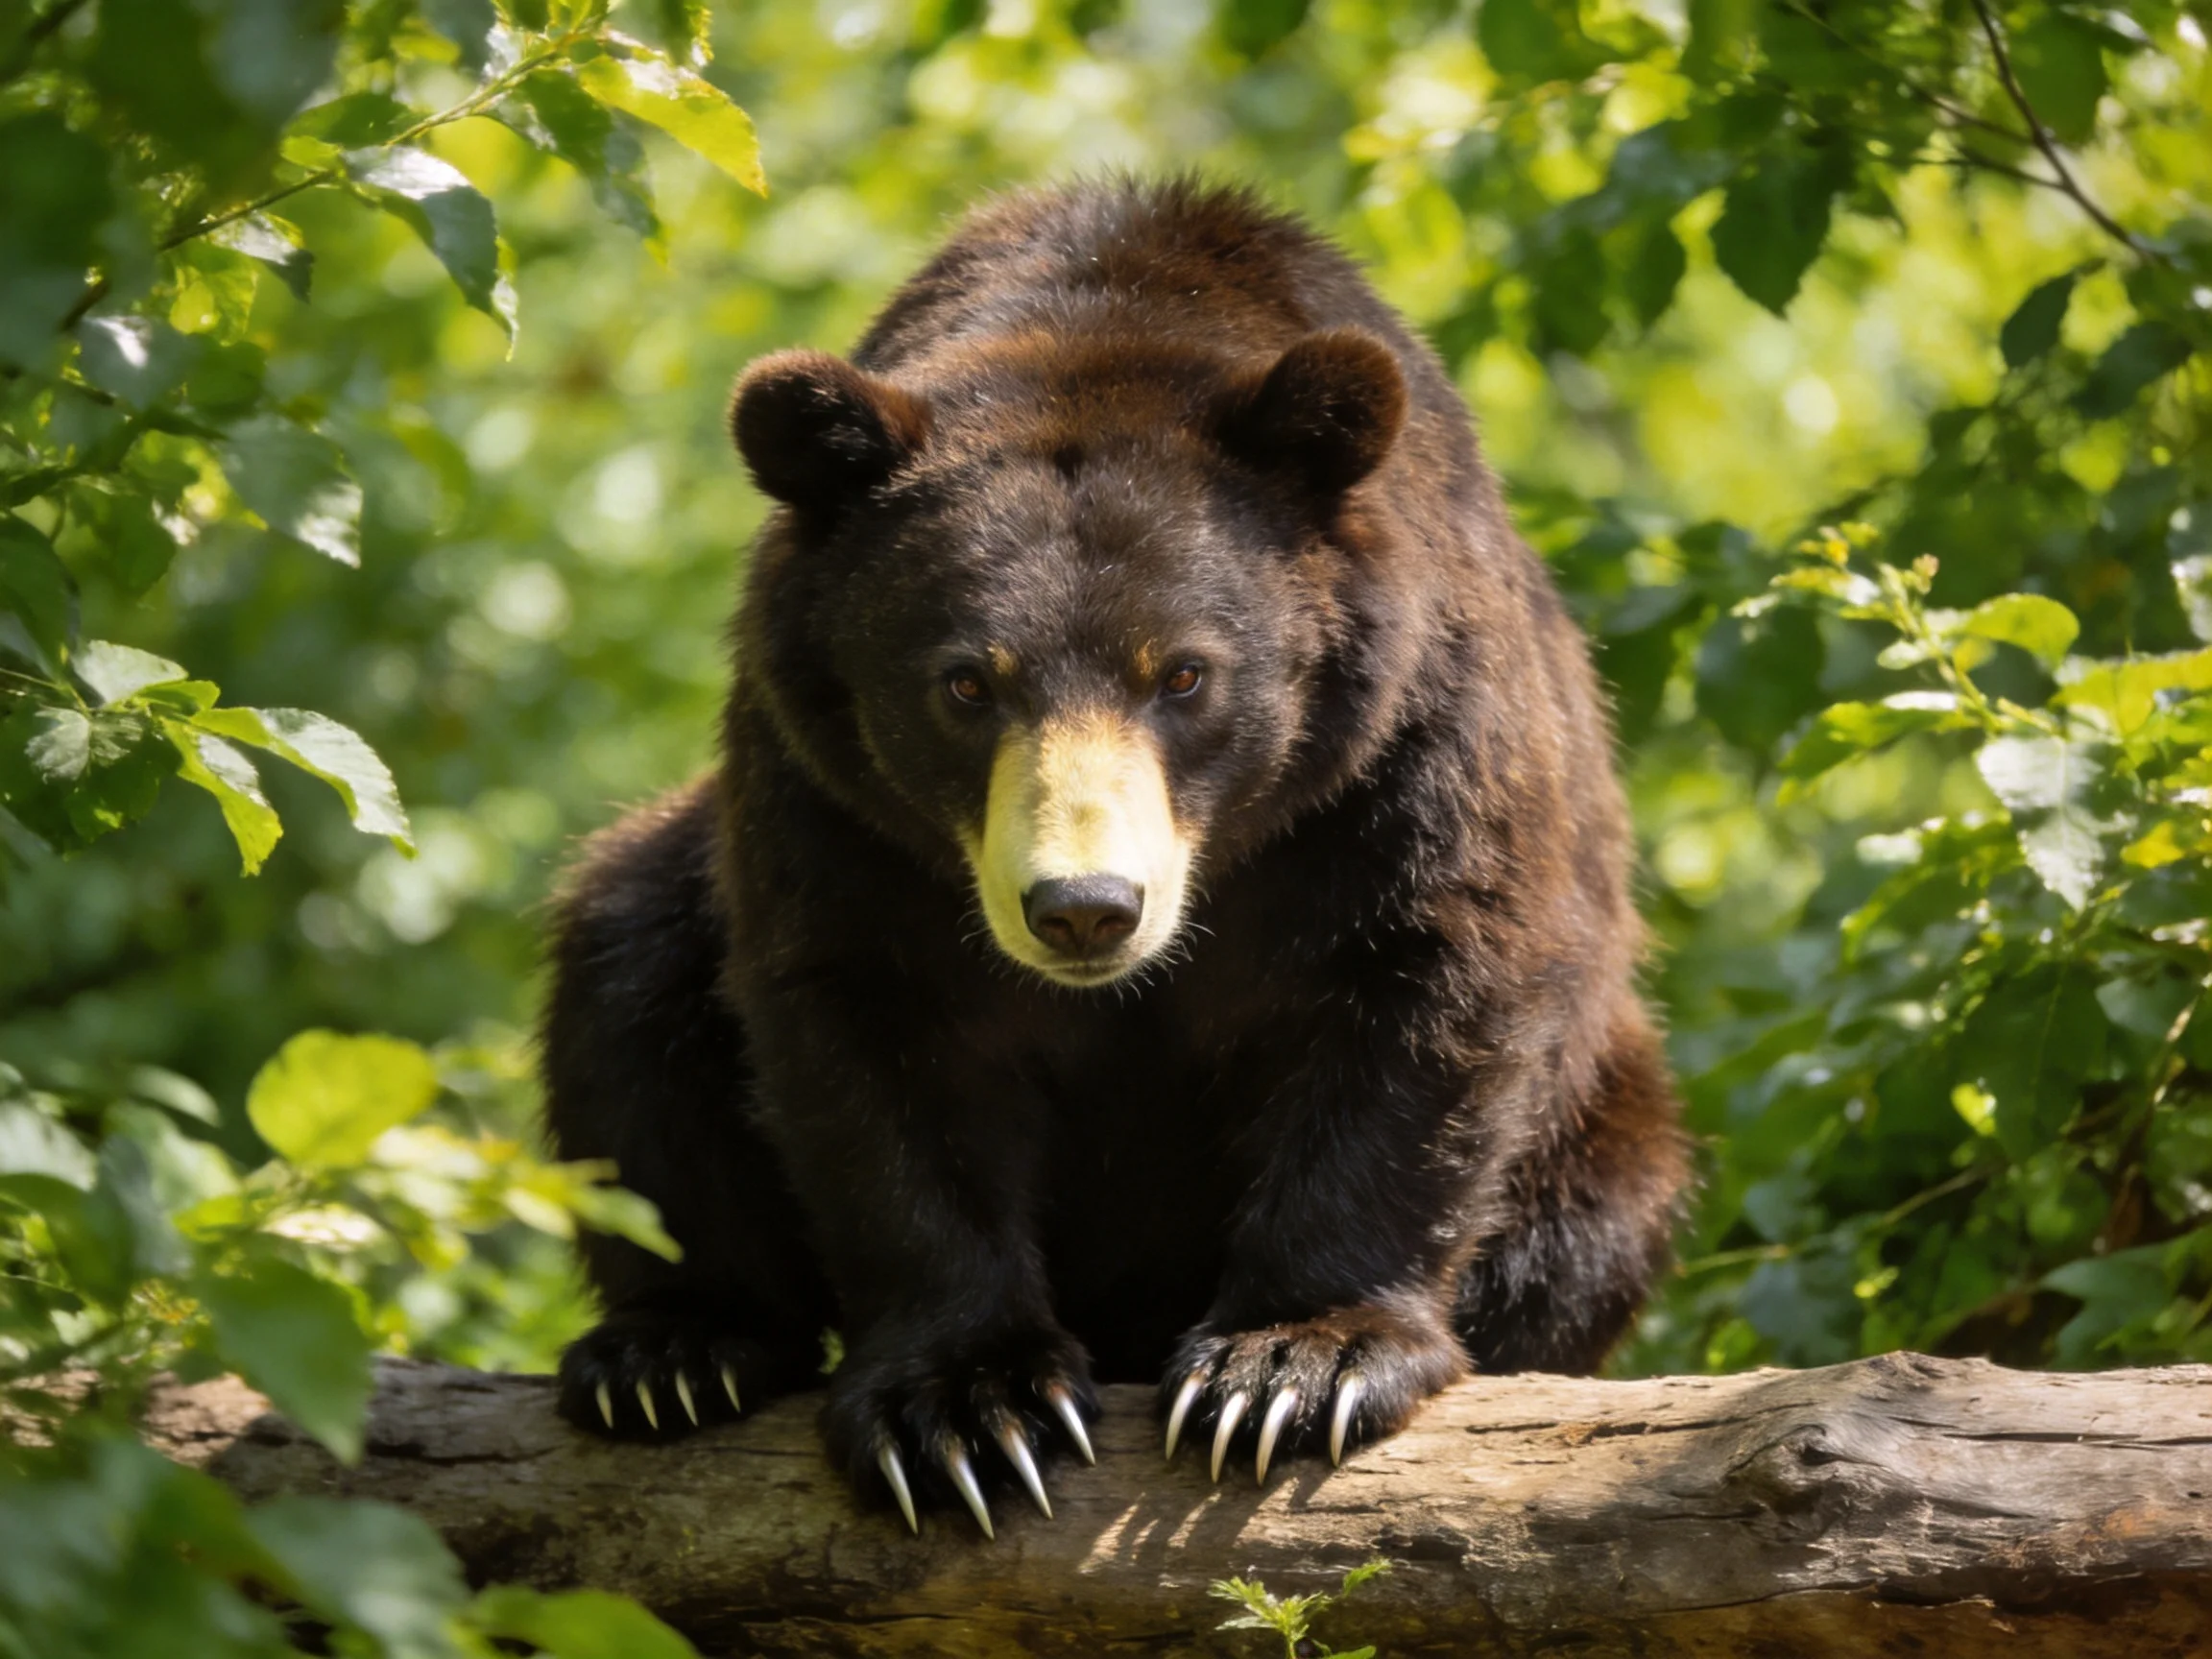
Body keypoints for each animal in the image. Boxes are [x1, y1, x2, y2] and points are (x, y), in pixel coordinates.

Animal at [541, 176, 1688, 1537]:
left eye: (1184, 673)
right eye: (966, 682)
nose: (1084, 907)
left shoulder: (1408, 753)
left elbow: (1427, 990)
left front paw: (1292, 1367)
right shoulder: (833, 807)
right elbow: (870, 1041)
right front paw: (966, 1408)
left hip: (1602, 1105)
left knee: (1598, 1201)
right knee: (626, 975)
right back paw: (673, 1349)